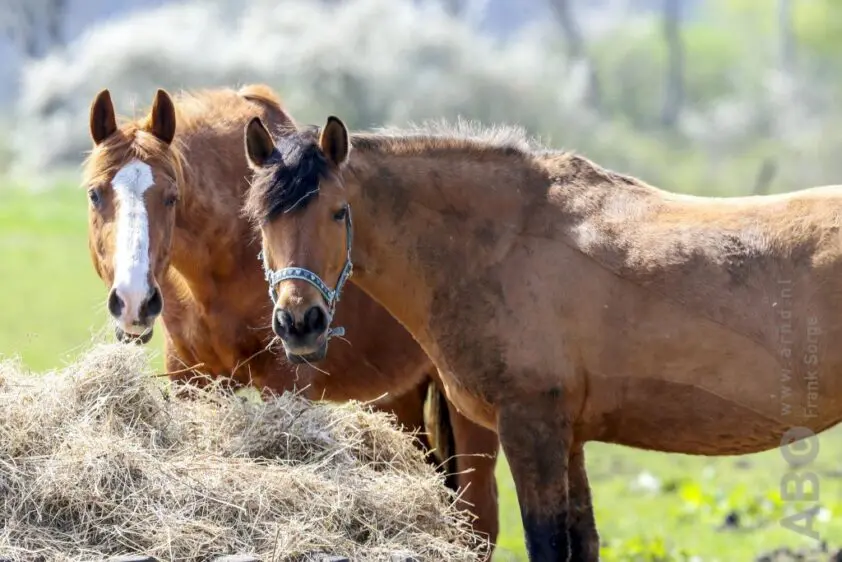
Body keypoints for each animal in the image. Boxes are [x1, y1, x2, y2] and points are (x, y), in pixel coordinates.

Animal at [81, 86, 500, 555]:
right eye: (95, 194)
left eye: (171, 197)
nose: (133, 300)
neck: (224, 262)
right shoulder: (191, 379)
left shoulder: (286, 382)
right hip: (398, 400)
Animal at [244, 112, 842, 561]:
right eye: (262, 220)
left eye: (338, 212)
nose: (300, 322)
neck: (505, 244)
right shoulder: (569, 437)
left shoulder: (530, 427)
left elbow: (548, 547)